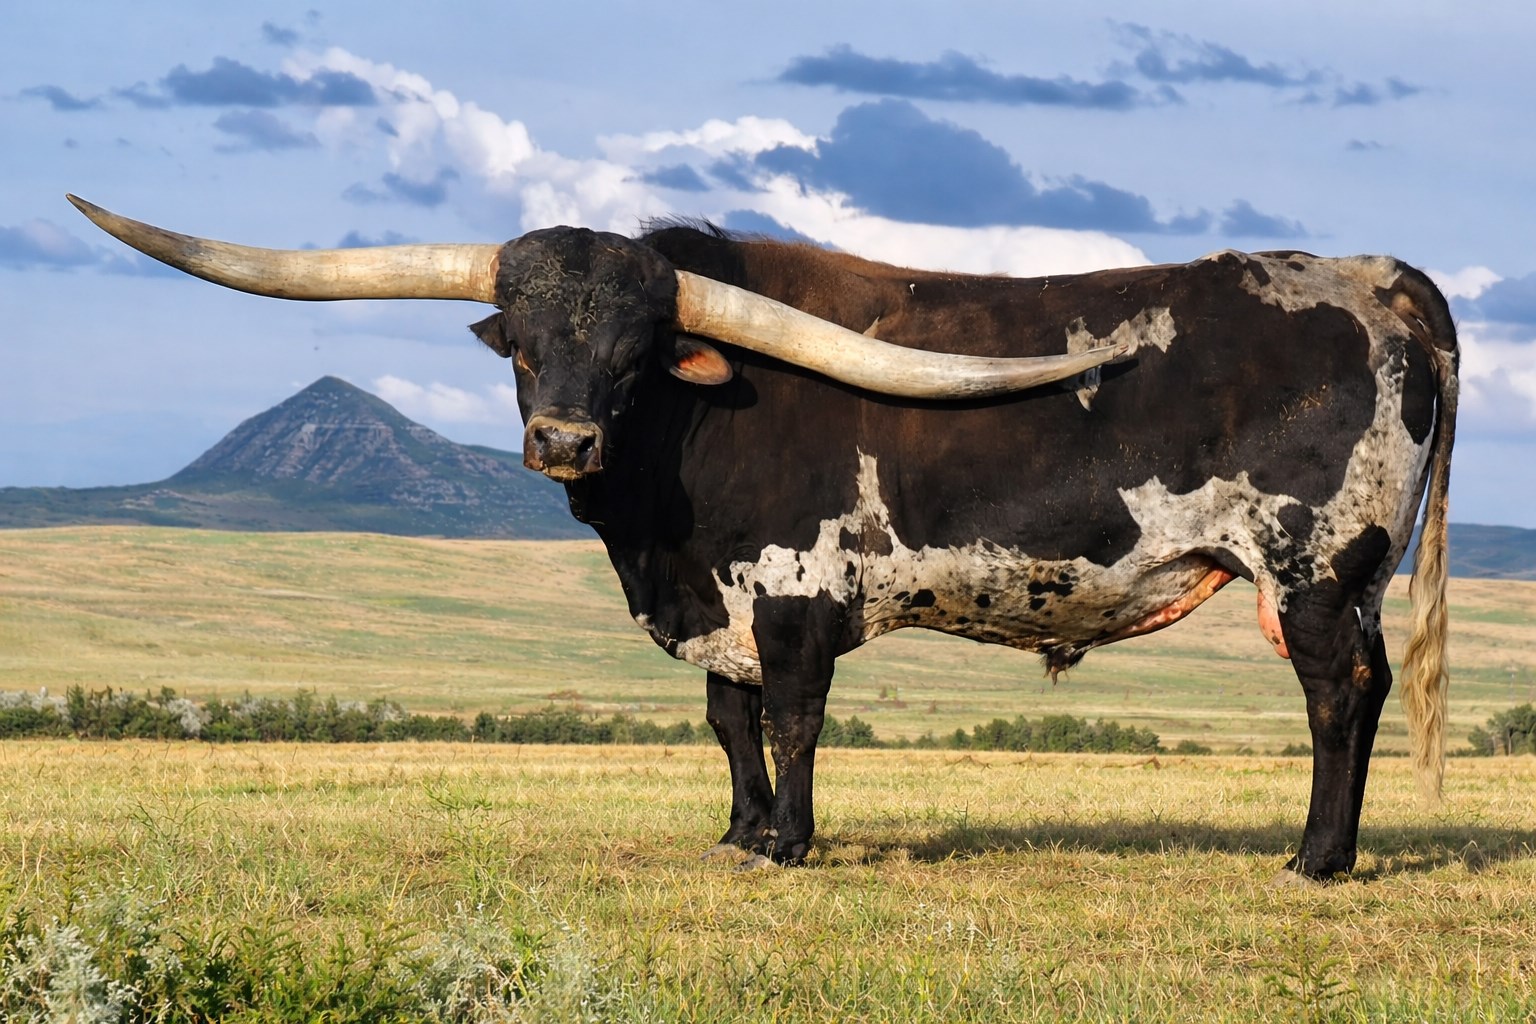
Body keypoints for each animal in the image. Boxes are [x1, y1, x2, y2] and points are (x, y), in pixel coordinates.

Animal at [68, 195, 1458, 883]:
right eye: (524, 343)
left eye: (637, 351)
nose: (563, 439)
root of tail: (1372, 273)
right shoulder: (717, 602)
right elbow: (727, 721)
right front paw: (737, 834)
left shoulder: (792, 590)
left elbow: (790, 719)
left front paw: (788, 845)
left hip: (1315, 569)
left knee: (1339, 696)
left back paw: (1318, 858)